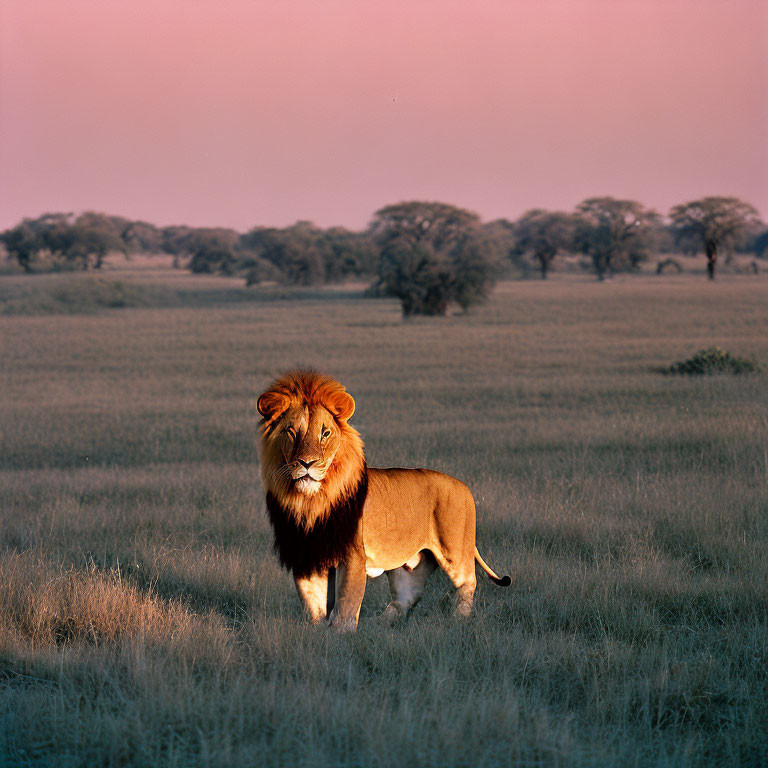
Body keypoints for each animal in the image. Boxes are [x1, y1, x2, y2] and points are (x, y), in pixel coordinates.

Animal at [256, 370, 510, 632]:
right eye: (291, 432)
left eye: (325, 433)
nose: (306, 463)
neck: (311, 500)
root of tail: (465, 487)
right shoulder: (307, 554)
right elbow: (312, 602)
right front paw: (316, 631)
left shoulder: (352, 554)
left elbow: (346, 600)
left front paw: (341, 633)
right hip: (407, 566)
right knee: (406, 597)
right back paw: (381, 624)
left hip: (455, 549)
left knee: (467, 582)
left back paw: (458, 619)